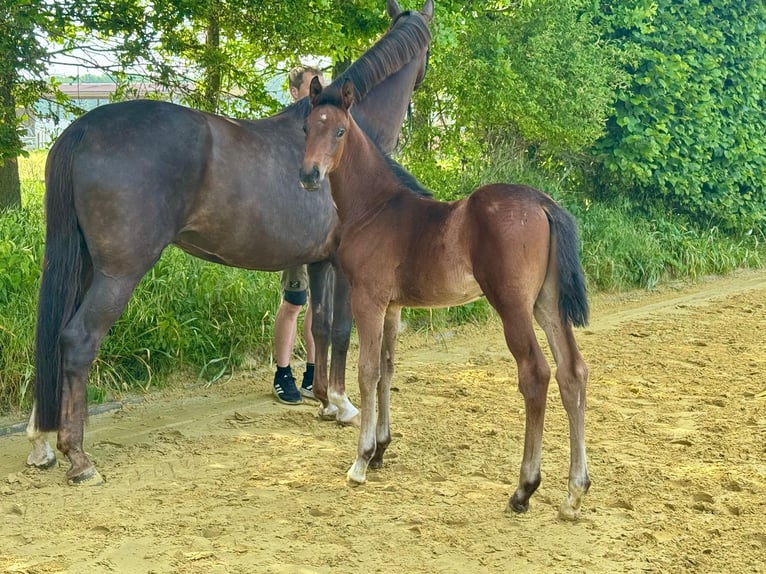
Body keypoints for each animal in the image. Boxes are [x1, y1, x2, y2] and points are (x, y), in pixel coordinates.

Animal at [27, 0, 434, 486]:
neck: (352, 142)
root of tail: (84, 127)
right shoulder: (341, 266)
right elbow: (340, 331)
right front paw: (342, 404)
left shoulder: (317, 262)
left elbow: (318, 326)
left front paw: (324, 400)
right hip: (118, 273)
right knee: (77, 340)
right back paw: (79, 458)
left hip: (84, 266)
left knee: (52, 336)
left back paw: (41, 442)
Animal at [298, 78, 591, 520]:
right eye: (306, 128)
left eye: (339, 131)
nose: (308, 174)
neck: (375, 207)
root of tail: (544, 203)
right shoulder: (393, 306)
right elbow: (387, 370)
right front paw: (381, 450)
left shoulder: (368, 299)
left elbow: (366, 371)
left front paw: (361, 461)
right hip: (547, 303)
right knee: (572, 372)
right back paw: (574, 493)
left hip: (513, 306)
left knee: (536, 374)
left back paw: (524, 489)